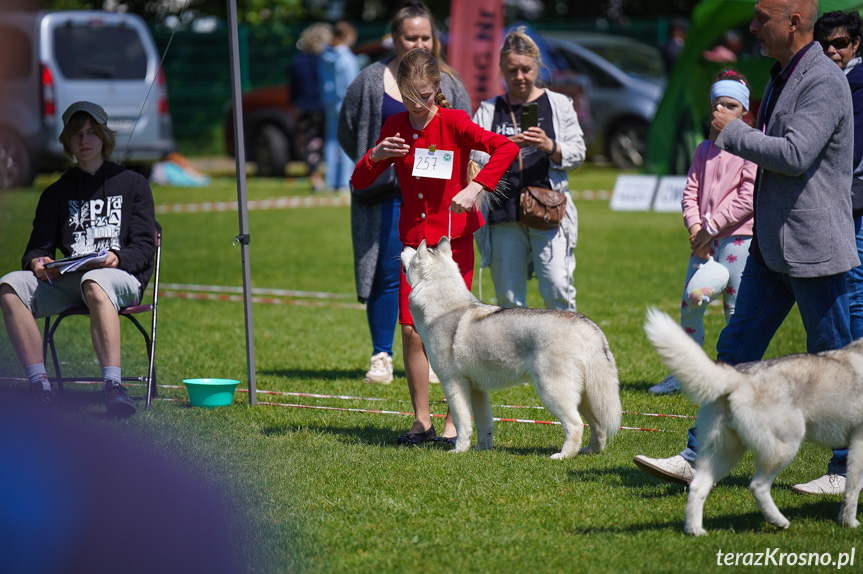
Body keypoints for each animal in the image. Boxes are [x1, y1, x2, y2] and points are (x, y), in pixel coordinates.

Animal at [402, 238, 624, 460]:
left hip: (552, 390)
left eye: (414, 255)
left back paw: (563, 455)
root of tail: (586, 325)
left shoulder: (453, 383)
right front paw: (481, 448)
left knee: (576, 425)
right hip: (586, 396)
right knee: (599, 426)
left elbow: (462, 423)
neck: (445, 308)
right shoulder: (477, 389)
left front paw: (459, 449)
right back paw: (591, 451)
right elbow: (484, 423)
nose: (404, 246)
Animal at [644, 308, 863, 536]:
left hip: (725, 452)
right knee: (757, 485)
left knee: (698, 486)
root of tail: (741, 377)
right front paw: (849, 523)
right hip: (783, 447)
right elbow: (853, 489)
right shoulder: (859, 444)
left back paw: (695, 530)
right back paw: (778, 521)